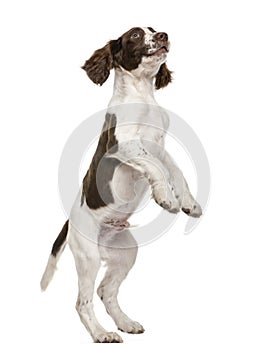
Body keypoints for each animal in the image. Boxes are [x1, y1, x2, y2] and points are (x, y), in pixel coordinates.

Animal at [40, 26, 201, 342]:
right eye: (136, 35)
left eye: (155, 29)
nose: (163, 36)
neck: (142, 96)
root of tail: (69, 222)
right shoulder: (124, 145)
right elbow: (157, 169)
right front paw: (166, 198)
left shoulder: (159, 147)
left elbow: (177, 171)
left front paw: (188, 202)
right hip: (88, 256)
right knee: (83, 301)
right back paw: (102, 334)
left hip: (126, 252)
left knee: (106, 291)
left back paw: (125, 323)